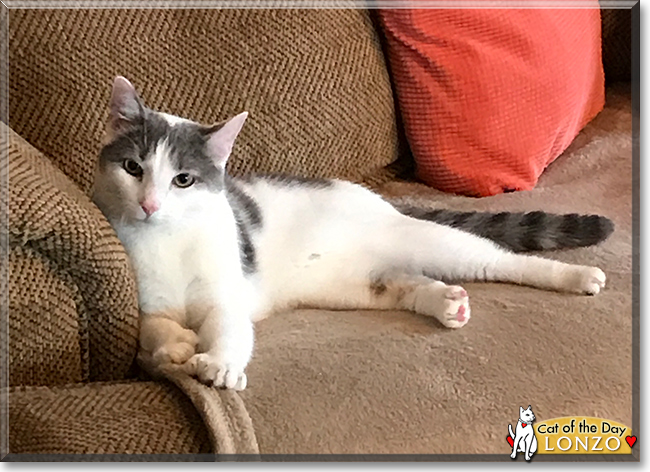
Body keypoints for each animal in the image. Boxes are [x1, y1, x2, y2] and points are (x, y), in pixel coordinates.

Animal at [92, 74, 612, 390]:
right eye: (133, 168)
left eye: (183, 180)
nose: (150, 204)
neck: (169, 241)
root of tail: (379, 200)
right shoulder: (147, 299)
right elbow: (151, 327)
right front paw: (174, 344)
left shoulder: (226, 293)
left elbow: (228, 327)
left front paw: (219, 363)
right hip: (359, 284)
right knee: (406, 282)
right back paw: (447, 302)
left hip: (434, 243)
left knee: (499, 259)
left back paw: (577, 278)